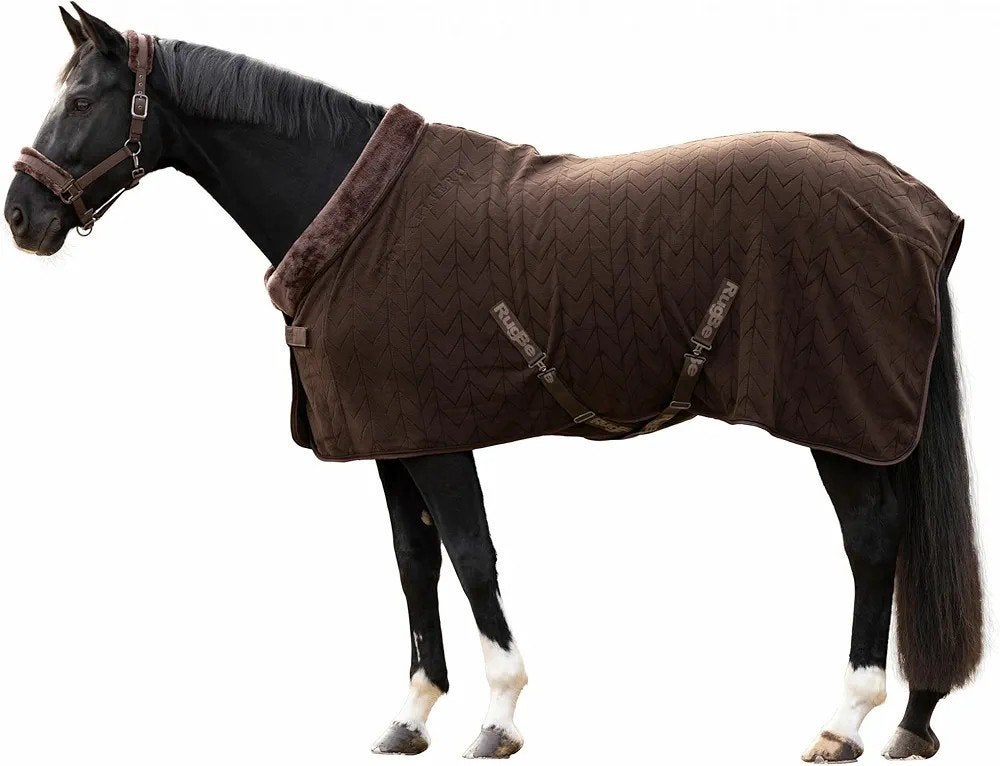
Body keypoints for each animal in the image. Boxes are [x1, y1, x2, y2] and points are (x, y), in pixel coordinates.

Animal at [4, 5, 983, 761]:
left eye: (82, 99)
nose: (23, 217)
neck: (353, 216)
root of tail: (917, 206)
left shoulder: (438, 437)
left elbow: (472, 557)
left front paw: (500, 717)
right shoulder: (390, 437)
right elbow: (414, 563)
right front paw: (409, 716)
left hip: (840, 418)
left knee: (874, 541)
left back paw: (847, 720)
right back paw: (914, 720)